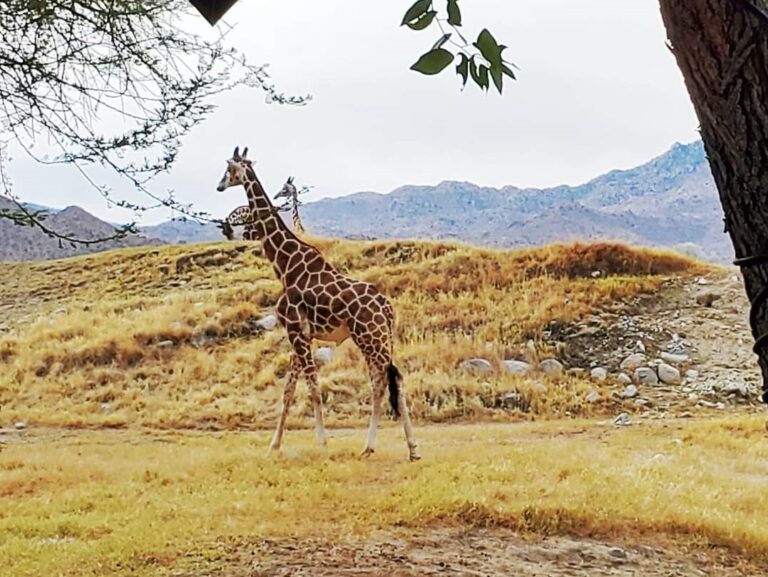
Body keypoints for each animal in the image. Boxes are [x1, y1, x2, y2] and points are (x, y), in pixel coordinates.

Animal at [214, 146, 420, 462]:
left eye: (229, 169)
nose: (219, 186)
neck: (285, 265)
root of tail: (387, 308)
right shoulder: (299, 335)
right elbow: (288, 390)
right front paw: (274, 444)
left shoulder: (296, 332)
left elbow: (312, 386)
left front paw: (322, 441)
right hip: (384, 338)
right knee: (394, 378)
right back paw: (410, 448)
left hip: (368, 338)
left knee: (380, 382)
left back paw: (370, 445)